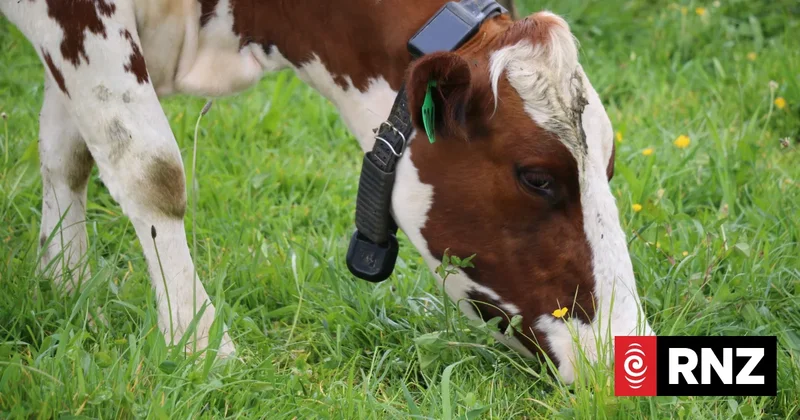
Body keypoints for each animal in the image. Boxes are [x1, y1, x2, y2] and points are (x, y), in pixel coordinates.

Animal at [0, 0, 654, 383]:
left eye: (609, 166)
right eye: (537, 177)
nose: (629, 353)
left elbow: (67, 154)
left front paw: (65, 281)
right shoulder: (78, 16)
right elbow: (151, 169)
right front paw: (201, 344)